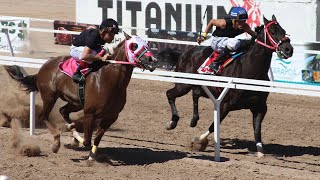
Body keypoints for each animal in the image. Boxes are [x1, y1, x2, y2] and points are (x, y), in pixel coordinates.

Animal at [5, 32, 158, 160]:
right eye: (134, 45)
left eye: (146, 44)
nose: (153, 60)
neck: (110, 81)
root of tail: (44, 67)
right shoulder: (89, 113)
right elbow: (86, 141)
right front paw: (75, 143)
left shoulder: (111, 117)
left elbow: (96, 139)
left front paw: (91, 156)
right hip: (49, 96)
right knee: (44, 116)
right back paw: (57, 142)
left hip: (76, 102)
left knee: (63, 110)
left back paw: (70, 128)